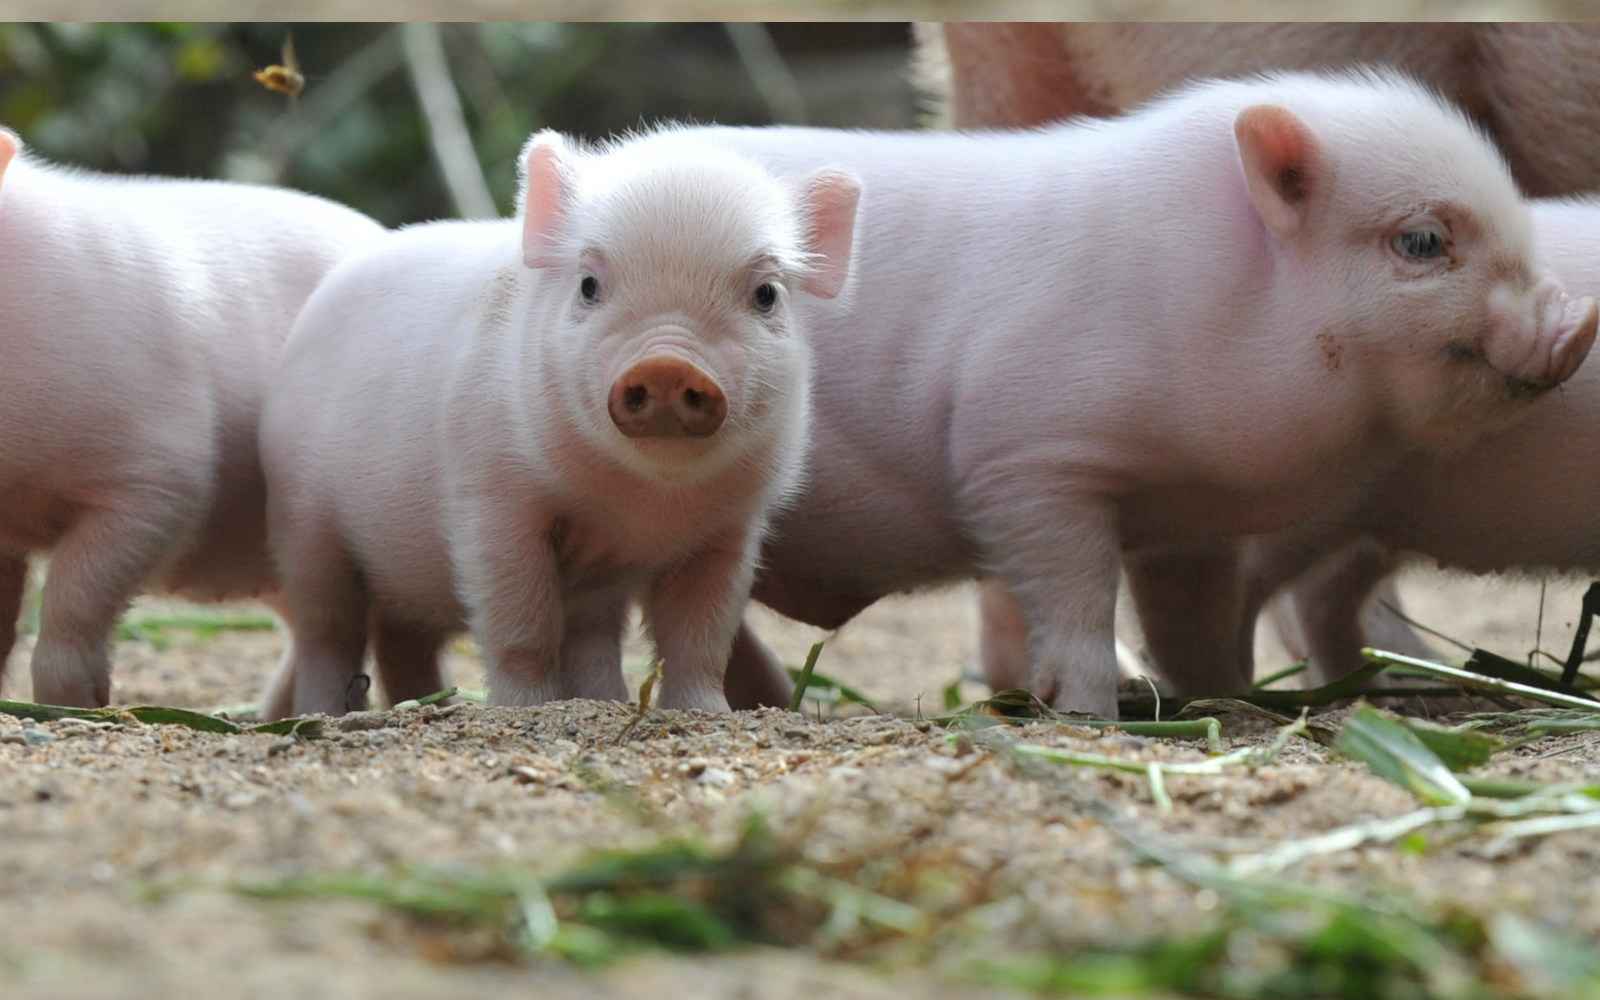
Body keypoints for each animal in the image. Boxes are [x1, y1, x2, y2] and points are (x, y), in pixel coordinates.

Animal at [256, 129, 860, 720]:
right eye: (589, 285)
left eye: (766, 294)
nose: (667, 364)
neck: (644, 504)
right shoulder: (493, 498)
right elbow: (520, 621)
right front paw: (527, 711)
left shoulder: (730, 528)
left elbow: (701, 636)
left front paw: (706, 715)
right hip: (304, 524)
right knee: (326, 631)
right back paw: (323, 716)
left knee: (419, 639)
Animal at [691, 70, 1598, 719]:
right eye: (1422, 241)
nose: (1576, 319)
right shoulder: (1023, 456)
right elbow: (1078, 599)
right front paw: (1092, 711)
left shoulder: (1192, 518)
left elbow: (1194, 624)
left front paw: (1224, 699)